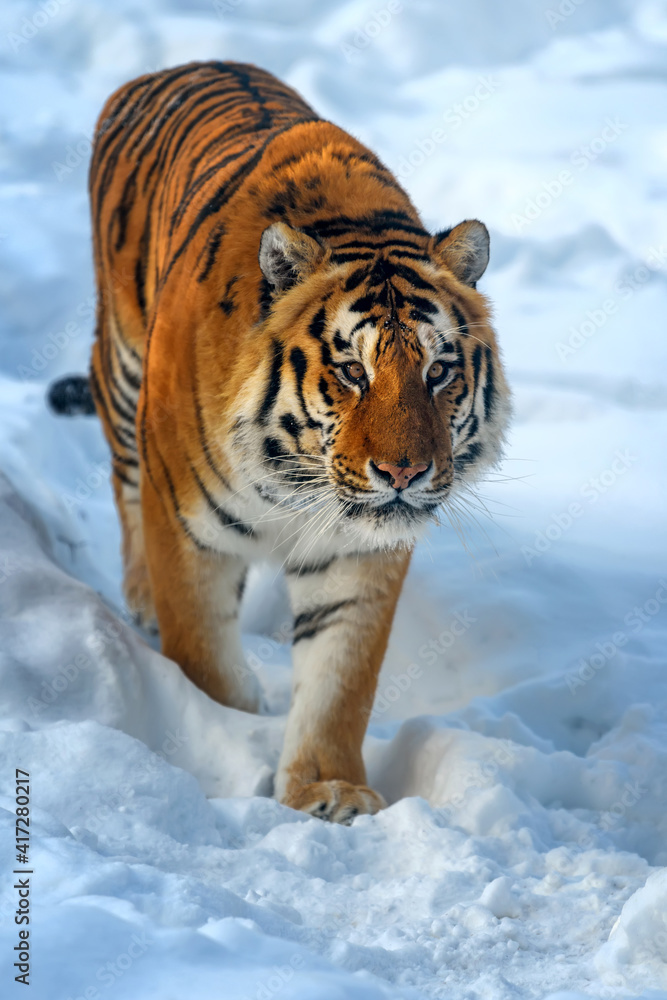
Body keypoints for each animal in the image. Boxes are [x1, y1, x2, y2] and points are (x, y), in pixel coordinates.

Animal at [77, 62, 512, 824]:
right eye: (352, 371)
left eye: (437, 371)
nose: (404, 472)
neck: (293, 478)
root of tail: (176, 66)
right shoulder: (188, 532)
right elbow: (204, 658)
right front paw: (227, 737)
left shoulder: (357, 557)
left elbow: (341, 682)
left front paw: (329, 791)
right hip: (123, 372)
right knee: (122, 479)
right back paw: (138, 598)